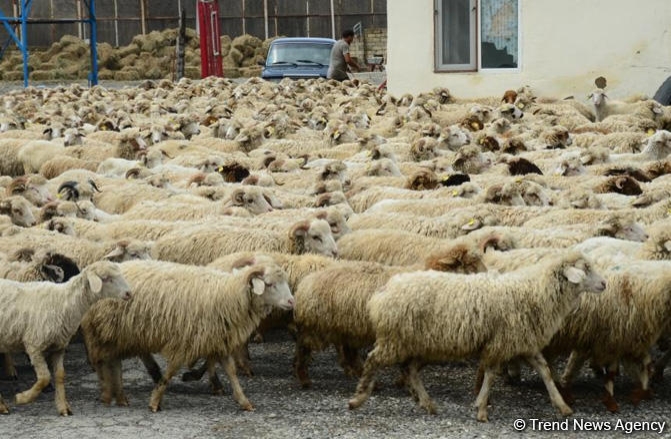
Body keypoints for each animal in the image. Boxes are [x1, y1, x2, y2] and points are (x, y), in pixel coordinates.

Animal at [0, 262, 132, 418]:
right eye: (106, 278)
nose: (129, 293)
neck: (63, 302)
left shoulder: (58, 347)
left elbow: (59, 376)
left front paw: (63, 407)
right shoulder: (34, 345)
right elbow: (44, 377)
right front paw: (22, 398)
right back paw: (2, 406)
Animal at [80, 260, 294, 410]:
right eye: (270, 284)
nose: (292, 301)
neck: (228, 294)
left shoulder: (219, 338)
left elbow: (231, 371)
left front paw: (244, 401)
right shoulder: (185, 339)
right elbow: (172, 370)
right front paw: (155, 400)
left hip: (126, 332)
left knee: (121, 358)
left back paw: (127, 390)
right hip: (105, 331)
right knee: (102, 361)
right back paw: (107, 392)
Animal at [346, 251, 608, 422]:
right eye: (585, 268)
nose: (605, 284)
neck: (535, 292)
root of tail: (384, 290)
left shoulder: (524, 341)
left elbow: (545, 371)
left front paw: (562, 405)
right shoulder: (500, 343)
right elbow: (491, 374)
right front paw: (481, 409)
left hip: (423, 344)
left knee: (409, 369)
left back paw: (427, 403)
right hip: (396, 339)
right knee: (373, 360)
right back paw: (358, 398)